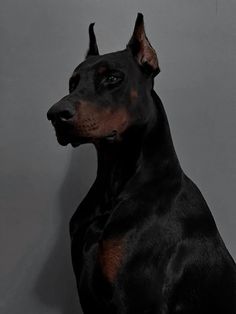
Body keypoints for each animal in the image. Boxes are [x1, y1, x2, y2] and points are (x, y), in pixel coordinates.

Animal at [47, 12, 236, 314]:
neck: (114, 184)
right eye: (72, 83)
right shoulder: (86, 294)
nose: (55, 114)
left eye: (112, 77)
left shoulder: (136, 295)